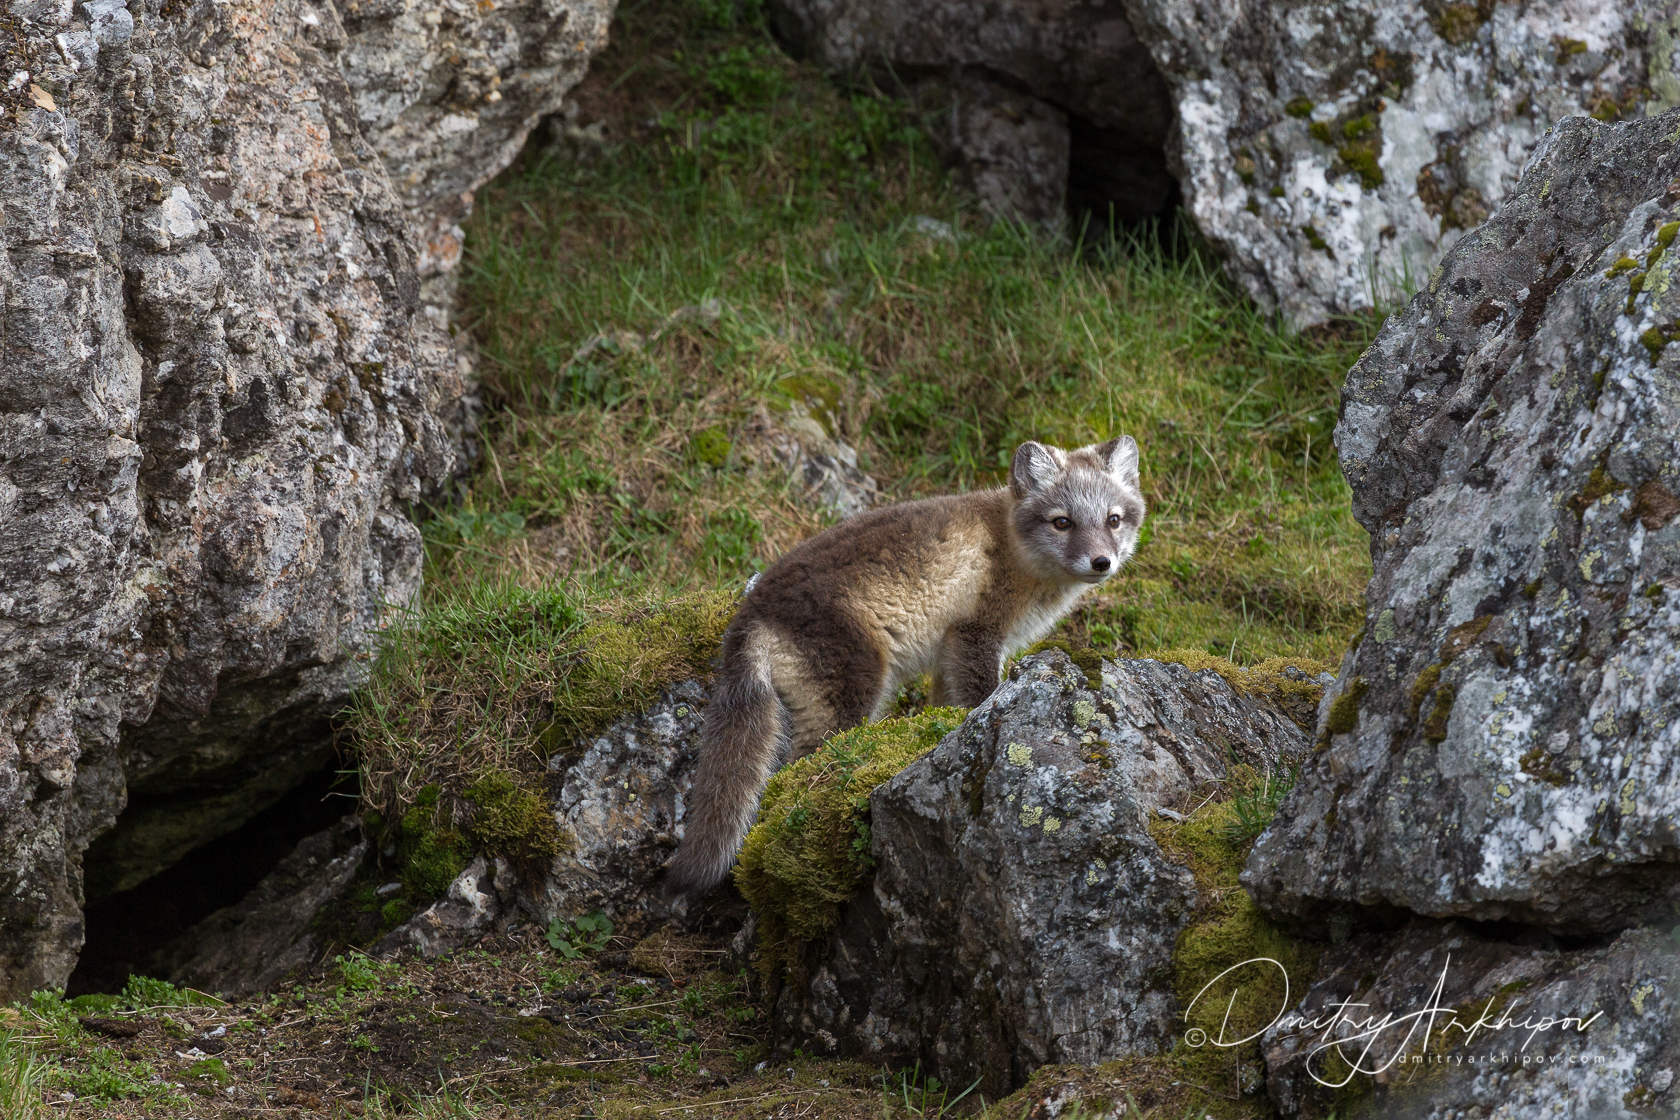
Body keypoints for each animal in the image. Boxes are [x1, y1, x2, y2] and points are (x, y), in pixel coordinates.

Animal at [661, 433, 1149, 900]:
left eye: (1113, 519)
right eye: (1062, 521)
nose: (1102, 562)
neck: (1011, 547)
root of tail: (750, 615)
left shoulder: (948, 655)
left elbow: (948, 707)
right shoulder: (975, 634)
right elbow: (981, 696)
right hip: (849, 696)